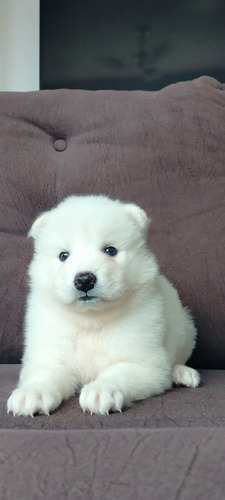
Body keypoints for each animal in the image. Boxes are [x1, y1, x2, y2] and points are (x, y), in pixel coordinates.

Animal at [7, 193, 200, 416]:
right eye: (64, 255)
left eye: (110, 250)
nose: (84, 280)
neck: (91, 319)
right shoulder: (50, 352)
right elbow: (44, 374)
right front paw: (31, 394)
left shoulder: (144, 362)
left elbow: (118, 372)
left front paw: (101, 391)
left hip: (186, 330)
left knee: (179, 358)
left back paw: (182, 373)